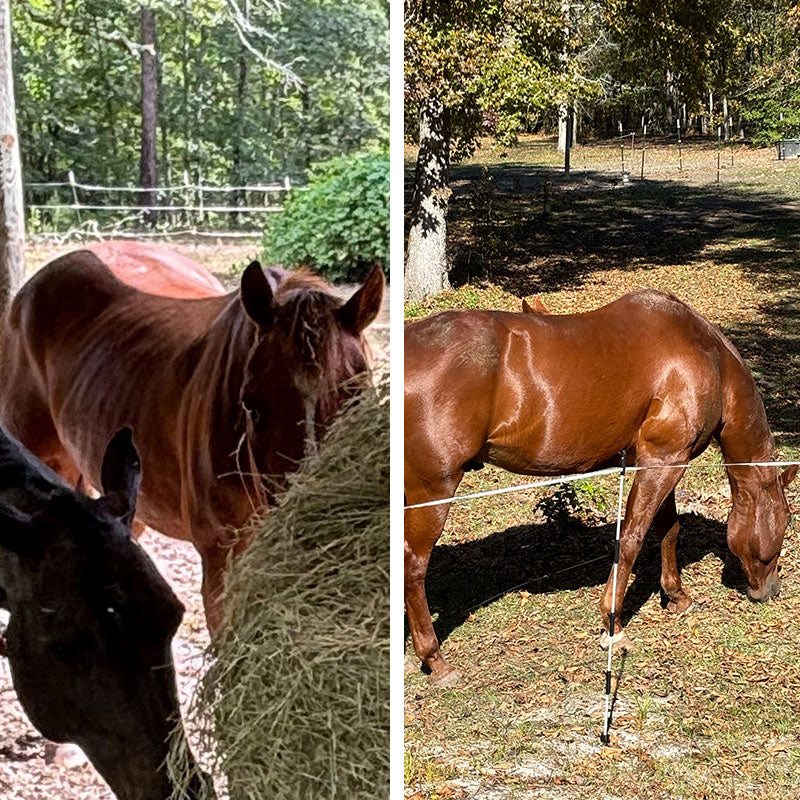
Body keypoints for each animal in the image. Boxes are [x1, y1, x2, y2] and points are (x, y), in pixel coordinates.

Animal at [404, 289, 797, 685]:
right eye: (786, 521)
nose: (772, 589)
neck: (707, 357)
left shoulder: (663, 460)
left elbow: (668, 530)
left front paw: (676, 596)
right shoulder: (663, 460)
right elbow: (632, 538)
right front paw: (614, 625)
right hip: (432, 490)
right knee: (413, 567)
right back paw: (436, 660)